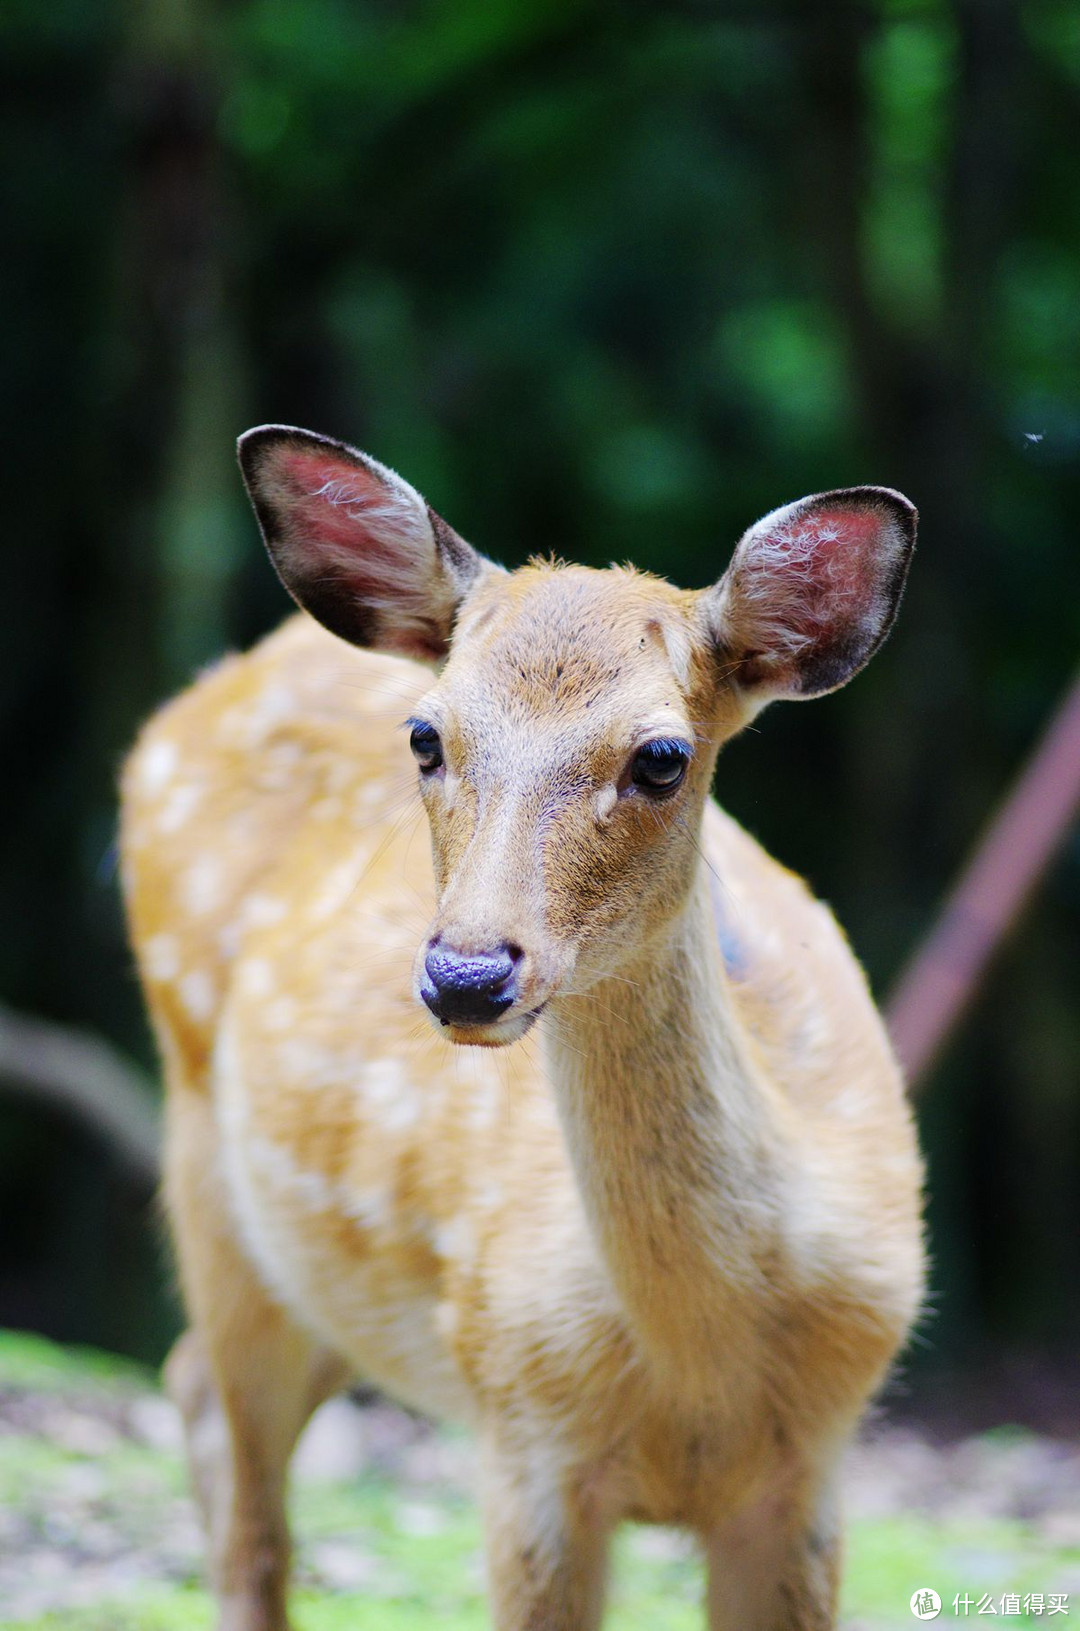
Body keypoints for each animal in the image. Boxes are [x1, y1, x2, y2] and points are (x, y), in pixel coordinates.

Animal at [120, 427, 933, 1631]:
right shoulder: (523, 1429)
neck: (704, 1363)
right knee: (245, 1498)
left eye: (662, 755)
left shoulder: (814, 1468)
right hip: (204, 1168)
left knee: (193, 1393)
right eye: (425, 734)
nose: (465, 973)